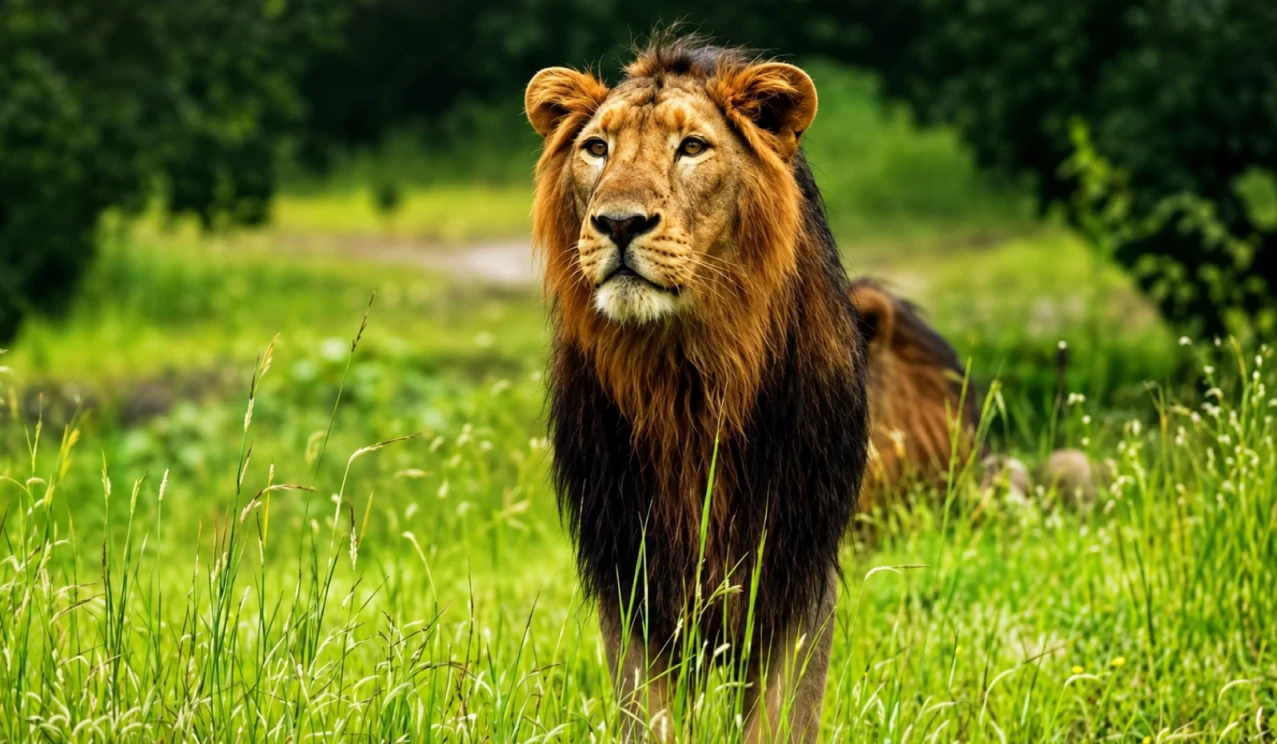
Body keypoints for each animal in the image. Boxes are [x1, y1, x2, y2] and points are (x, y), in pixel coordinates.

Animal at [526, 39, 869, 742]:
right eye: (596, 148)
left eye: (692, 147)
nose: (618, 222)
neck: (688, 370)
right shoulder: (631, 570)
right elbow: (648, 717)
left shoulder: (797, 569)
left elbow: (782, 719)